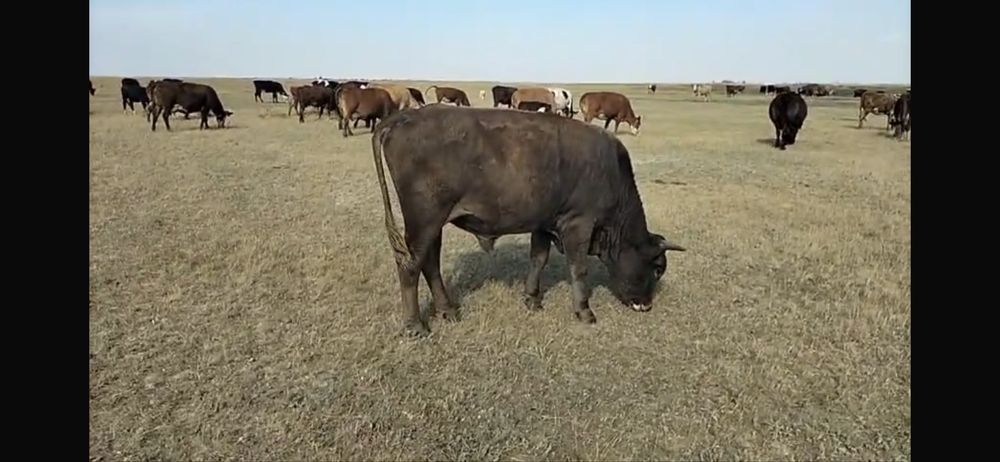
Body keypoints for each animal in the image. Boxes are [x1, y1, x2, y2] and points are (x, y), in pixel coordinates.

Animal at [370, 104, 686, 336]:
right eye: (657, 268)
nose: (646, 305)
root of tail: (404, 116)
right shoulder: (578, 225)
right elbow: (579, 269)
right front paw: (584, 311)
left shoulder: (545, 223)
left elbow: (538, 259)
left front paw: (532, 298)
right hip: (423, 222)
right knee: (410, 266)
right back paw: (414, 325)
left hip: (433, 225)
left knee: (430, 263)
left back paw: (448, 310)